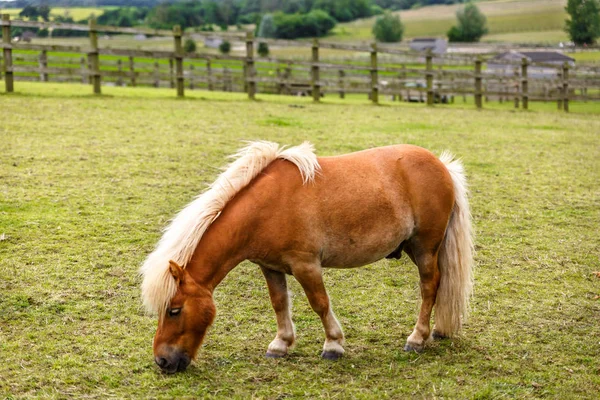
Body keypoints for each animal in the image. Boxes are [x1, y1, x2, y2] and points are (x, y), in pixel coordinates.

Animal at [139, 141, 474, 372]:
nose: (162, 361)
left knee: (429, 287)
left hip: (425, 248)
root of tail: (442, 165)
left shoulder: (306, 265)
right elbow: (279, 303)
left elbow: (320, 304)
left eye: (174, 310)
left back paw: (416, 339)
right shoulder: (270, 267)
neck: (266, 206)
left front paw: (333, 345)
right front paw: (280, 344)